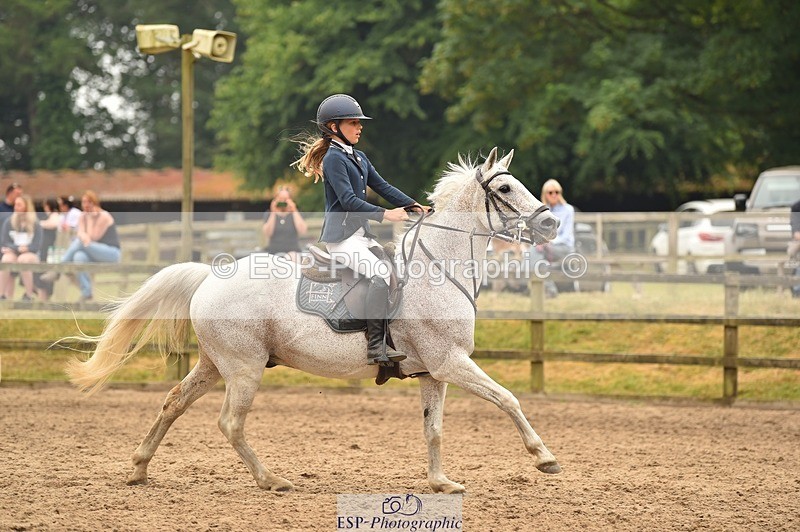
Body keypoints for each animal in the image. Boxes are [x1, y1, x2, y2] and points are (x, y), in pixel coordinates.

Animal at [66, 147, 563, 494]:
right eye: (505, 190)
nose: (550, 225)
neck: (438, 268)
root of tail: (210, 274)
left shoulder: (433, 372)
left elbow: (434, 429)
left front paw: (441, 483)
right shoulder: (452, 361)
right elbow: (508, 399)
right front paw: (543, 458)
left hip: (213, 364)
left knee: (174, 403)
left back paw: (139, 469)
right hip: (244, 368)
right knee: (230, 423)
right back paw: (272, 480)